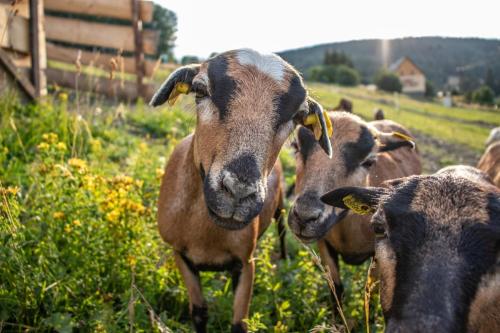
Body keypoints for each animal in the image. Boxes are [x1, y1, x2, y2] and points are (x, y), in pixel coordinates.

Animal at [150, 49, 334, 332]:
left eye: (297, 115)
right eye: (200, 90)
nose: (238, 192)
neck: (205, 233)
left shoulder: (247, 263)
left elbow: (239, 324)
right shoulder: (180, 255)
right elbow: (199, 312)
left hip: (280, 207)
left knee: (282, 230)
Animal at [288, 113, 420, 304]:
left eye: (369, 162)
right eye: (296, 146)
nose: (304, 217)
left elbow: (371, 294)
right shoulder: (324, 243)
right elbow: (336, 290)